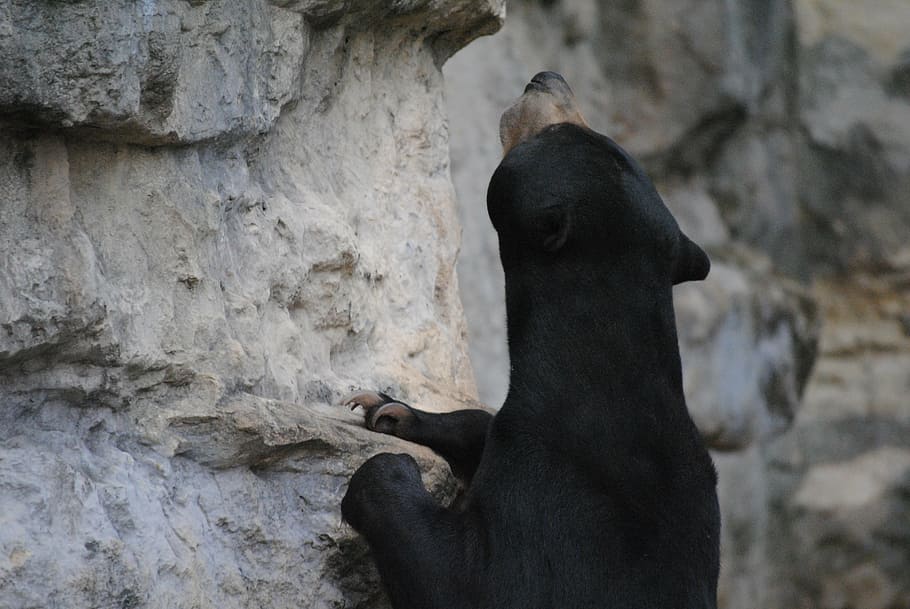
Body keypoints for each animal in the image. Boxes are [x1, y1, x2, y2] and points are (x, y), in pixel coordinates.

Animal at [340, 71, 720, 608]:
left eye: (560, 132)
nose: (546, 78)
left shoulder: (554, 515)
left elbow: (461, 580)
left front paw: (386, 467)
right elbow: (484, 425)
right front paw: (390, 410)